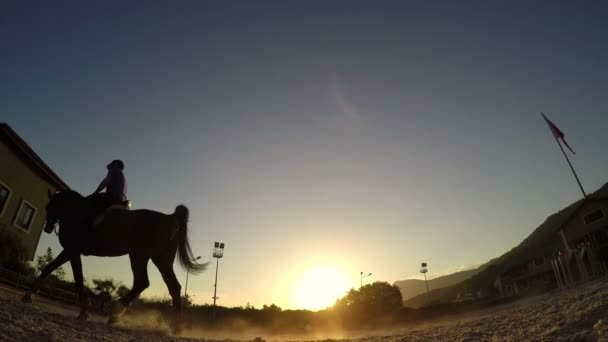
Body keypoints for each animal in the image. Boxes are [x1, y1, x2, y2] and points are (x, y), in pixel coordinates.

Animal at [21, 191, 207, 328]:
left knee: (144, 282)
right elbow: (53, 269)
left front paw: (84, 310)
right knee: (170, 286)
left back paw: (115, 313)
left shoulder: (72, 251)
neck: (77, 211)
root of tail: (170, 217)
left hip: (143, 255)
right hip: (156, 258)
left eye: (49, 206)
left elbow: (75, 278)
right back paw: (175, 326)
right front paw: (29, 296)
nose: (47, 228)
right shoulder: (71, 252)